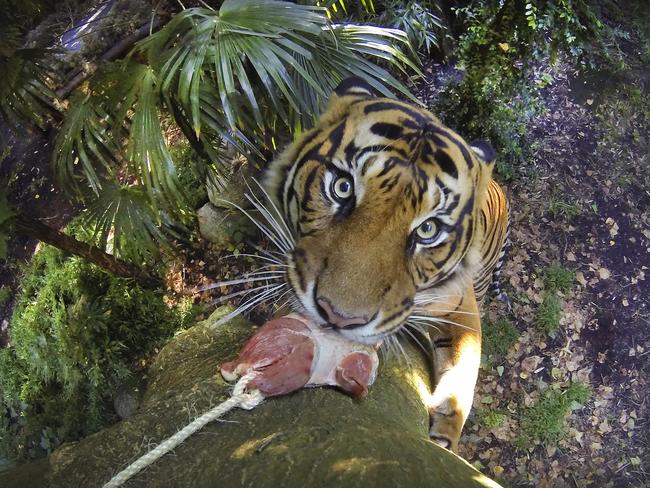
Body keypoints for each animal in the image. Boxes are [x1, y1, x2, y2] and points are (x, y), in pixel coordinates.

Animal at [260, 77, 508, 454]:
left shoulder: (460, 308)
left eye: (428, 229)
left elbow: (463, 370)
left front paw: (444, 432)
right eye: (342, 187)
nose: (339, 318)